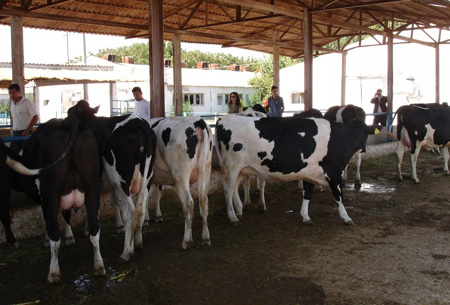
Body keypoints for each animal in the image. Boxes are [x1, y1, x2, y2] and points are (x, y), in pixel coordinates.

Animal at [67, 99, 156, 258]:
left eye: (72, 112)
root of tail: (140, 125)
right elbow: (112, 202)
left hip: (119, 179)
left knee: (130, 212)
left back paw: (127, 251)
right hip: (146, 179)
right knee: (140, 209)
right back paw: (138, 242)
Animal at [143, 115, 214, 248]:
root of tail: (198, 121)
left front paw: (145, 219)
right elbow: (156, 194)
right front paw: (157, 216)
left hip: (181, 176)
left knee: (188, 203)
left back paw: (186, 241)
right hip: (206, 170)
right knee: (203, 201)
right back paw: (205, 238)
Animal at [214, 115, 380, 224]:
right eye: (365, 135)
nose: (364, 149)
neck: (342, 137)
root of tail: (223, 118)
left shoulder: (311, 173)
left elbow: (308, 194)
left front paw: (305, 216)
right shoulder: (334, 173)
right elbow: (338, 196)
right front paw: (346, 217)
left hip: (240, 169)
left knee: (234, 189)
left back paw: (239, 211)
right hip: (232, 167)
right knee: (228, 189)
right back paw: (233, 217)